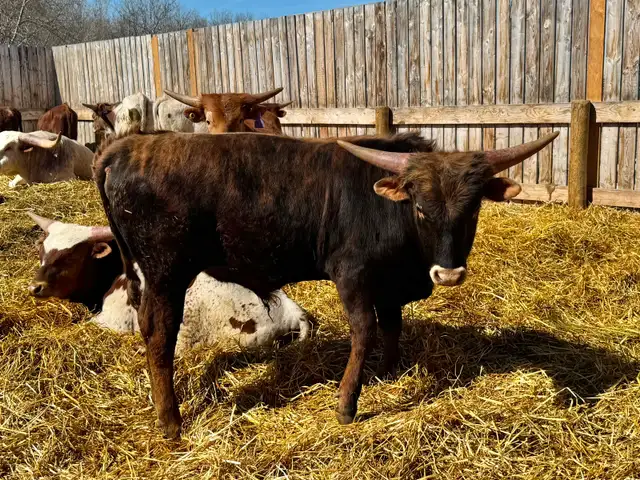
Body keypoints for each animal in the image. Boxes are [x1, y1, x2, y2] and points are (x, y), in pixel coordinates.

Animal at [94, 130, 558, 439]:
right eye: (421, 209)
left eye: (473, 208)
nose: (448, 274)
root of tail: (127, 147)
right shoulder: (352, 275)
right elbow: (365, 331)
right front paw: (347, 404)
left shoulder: (387, 282)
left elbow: (392, 325)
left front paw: (388, 371)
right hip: (166, 274)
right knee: (160, 336)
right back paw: (171, 421)